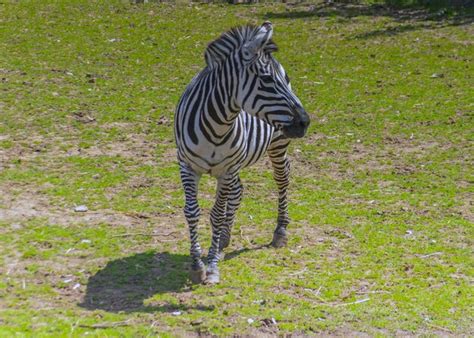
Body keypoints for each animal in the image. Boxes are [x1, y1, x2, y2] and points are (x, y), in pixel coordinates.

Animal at [175, 21, 312, 284]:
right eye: (266, 79)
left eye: (282, 79)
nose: (305, 122)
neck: (217, 124)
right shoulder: (187, 166)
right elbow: (192, 212)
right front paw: (197, 264)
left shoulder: (226, 169)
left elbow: (216, 215)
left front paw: (212, 266)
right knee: (238, 191)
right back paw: (223, 239)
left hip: (277, 143)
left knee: (282, 178)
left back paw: (279, 231)